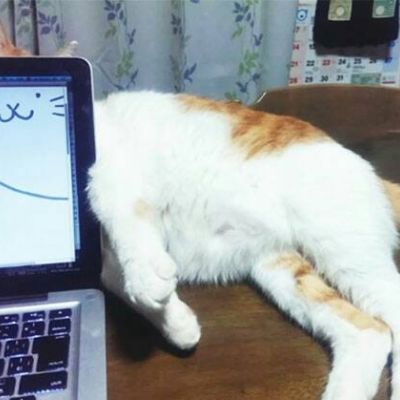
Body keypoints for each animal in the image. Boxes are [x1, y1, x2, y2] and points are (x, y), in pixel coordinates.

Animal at [88, 90, 400, 400]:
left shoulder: (107, 165)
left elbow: (117, 209)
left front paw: (147, 279)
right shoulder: (104, 262)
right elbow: (114, 281)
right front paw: (177, 324)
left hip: (342, 247)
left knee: (390, 303)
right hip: (280, 270)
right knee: (369, 332)